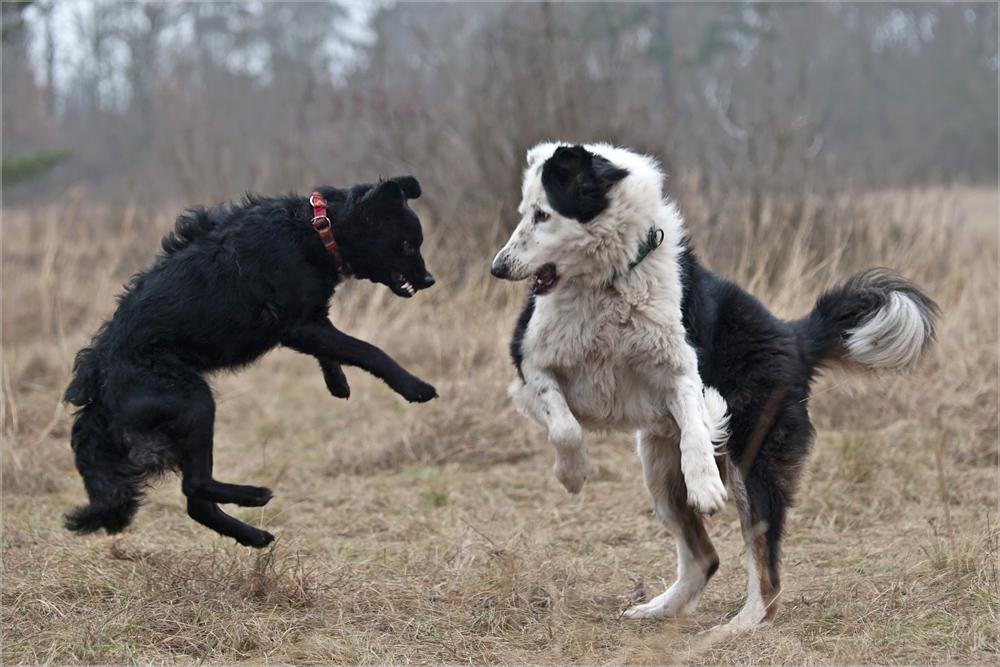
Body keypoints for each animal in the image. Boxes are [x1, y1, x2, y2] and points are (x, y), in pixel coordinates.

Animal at [63, 176, 438, 548]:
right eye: (407, 244)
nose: (429, 281)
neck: (318, 228)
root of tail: (99, 389)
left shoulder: (308, 322)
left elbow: (335, 351)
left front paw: (337, 382)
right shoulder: (300, 326)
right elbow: (368, 351)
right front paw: (415, 387)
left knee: (197, 505)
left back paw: (254, 536)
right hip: (194, 401)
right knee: (195, 484)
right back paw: (254, 496)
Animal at [492, 144, 936, 636]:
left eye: (542, 214)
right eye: (524, 213)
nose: (498, 267)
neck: (608, 283)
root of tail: (793, 336)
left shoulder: (682, 369)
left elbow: (693, 422)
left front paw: (704, 483)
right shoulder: (531, 363)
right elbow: (565, 425)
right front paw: (572, 473)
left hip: (752, 465)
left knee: (765, 571)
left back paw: (741, 624)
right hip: (659, 474)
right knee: (705, 559)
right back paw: (660, 609)